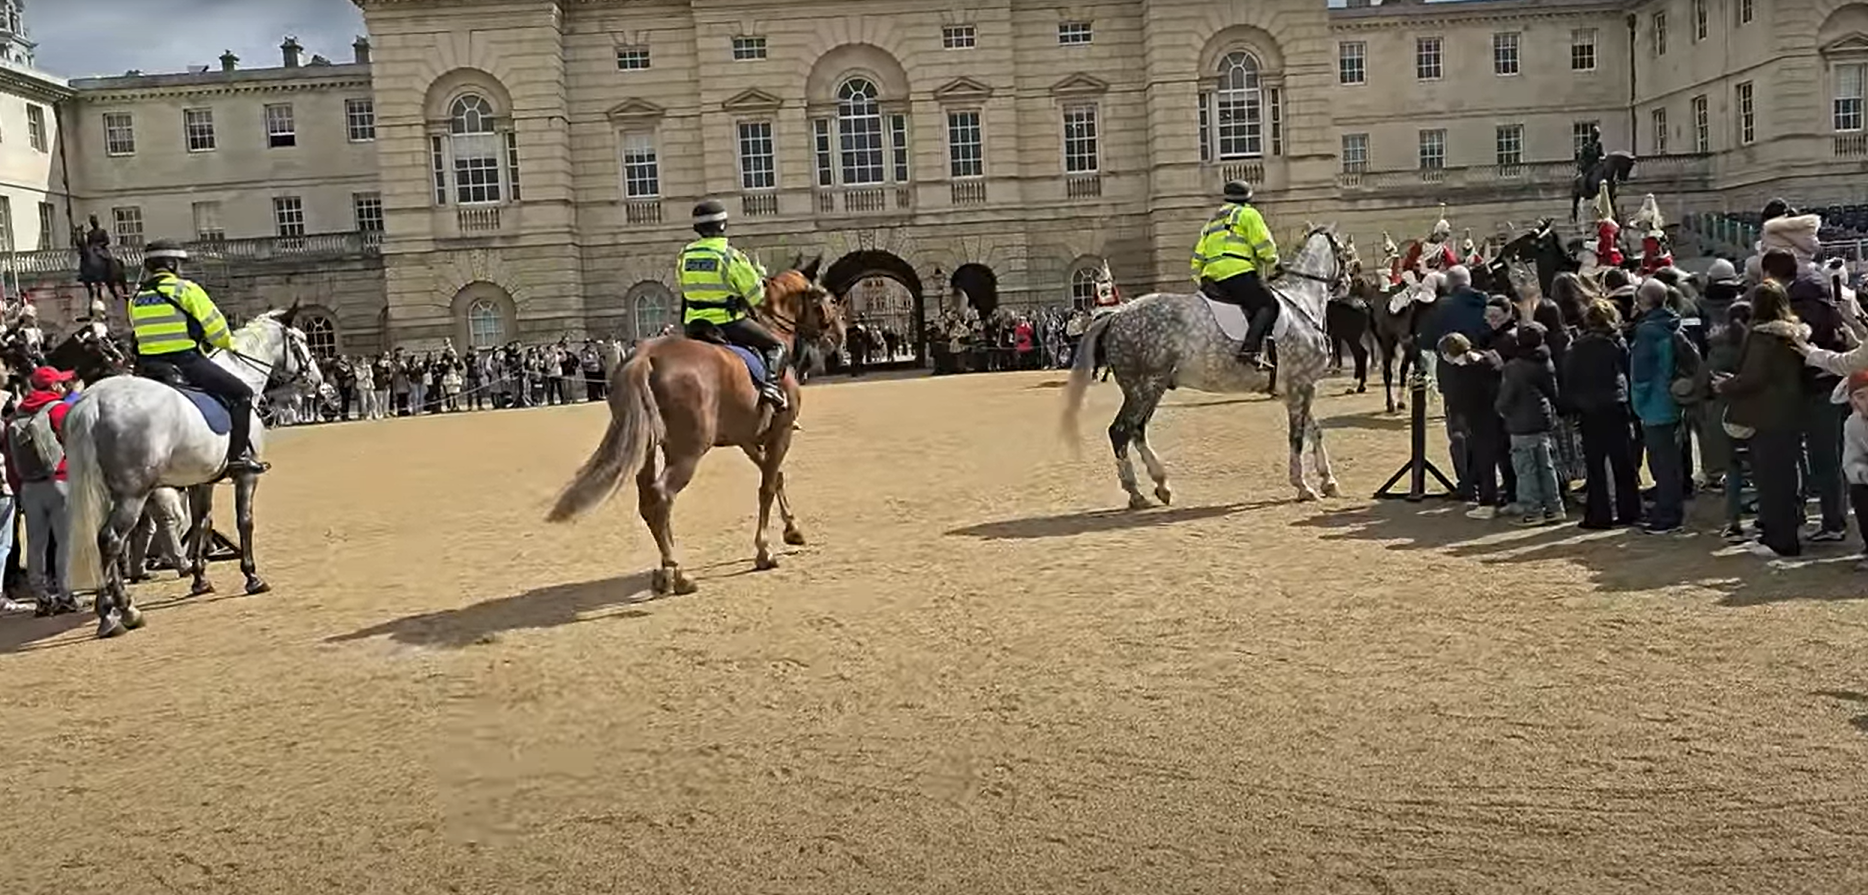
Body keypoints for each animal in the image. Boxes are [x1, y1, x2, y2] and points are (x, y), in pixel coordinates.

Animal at [62, 308, 321, 639]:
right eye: (301, 340)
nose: (317, 380)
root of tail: (93, 400)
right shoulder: (246, 477)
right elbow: (245, 522)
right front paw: (252, 576)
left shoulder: (201, 481)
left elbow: (202, 523)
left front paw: (200, 579)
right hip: (132, 495)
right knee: (111, 540)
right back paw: (123, 611)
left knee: (103, 544)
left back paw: (110, 609)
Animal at [545, 257, 848, 594]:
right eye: (830, 300)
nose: (840, 335)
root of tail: (647, 356)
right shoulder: (779, 434)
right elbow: (767, 486)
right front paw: (764, 550)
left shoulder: (748, 437)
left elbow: (776, 477)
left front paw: (793, 529)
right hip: (687, 451)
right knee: (662, 496)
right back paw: (677, 572)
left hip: (648, 449)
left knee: (648, 501)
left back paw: (666, 570)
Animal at [1061, 226, 1352, 504]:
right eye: (1347, 254)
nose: (1350, 281)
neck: (1300, 303)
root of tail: (1118, 314)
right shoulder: (1300, 386)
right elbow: (1297, 437)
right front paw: (1303, 486)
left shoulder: (1297, 389)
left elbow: (1315, 430)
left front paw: (1328, 481)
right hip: (1144, 388)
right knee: (1121, 431)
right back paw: (1136, 493)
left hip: (1150, 389)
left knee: (1136, 431)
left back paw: (1161, 484)